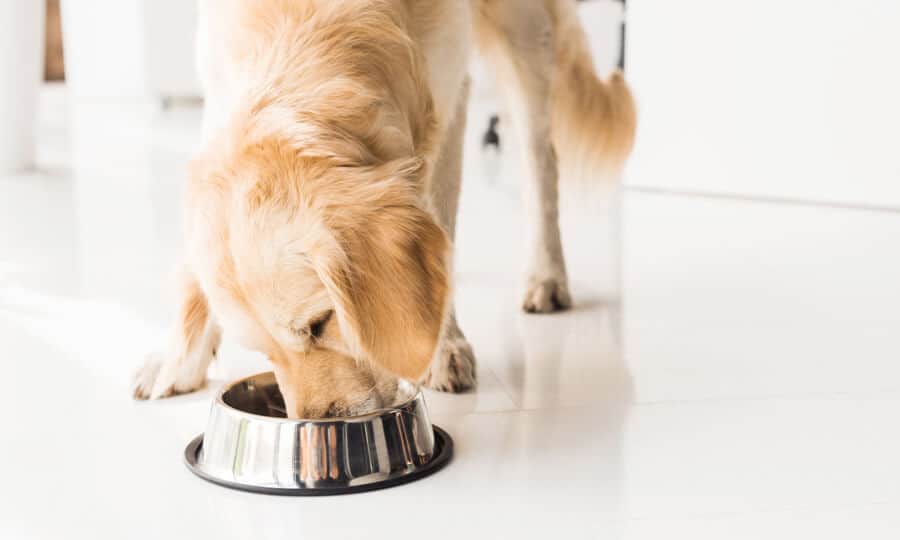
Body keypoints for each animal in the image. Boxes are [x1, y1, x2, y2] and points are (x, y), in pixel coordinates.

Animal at [134, 0, 636, 418]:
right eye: (263, 352)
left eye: (320, 324)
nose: (317, 423)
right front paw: (178, 358)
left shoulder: (446, 92)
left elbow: (440, 220)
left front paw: (441, 346)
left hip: (524, 31)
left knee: (540, 159)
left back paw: (546, 275)